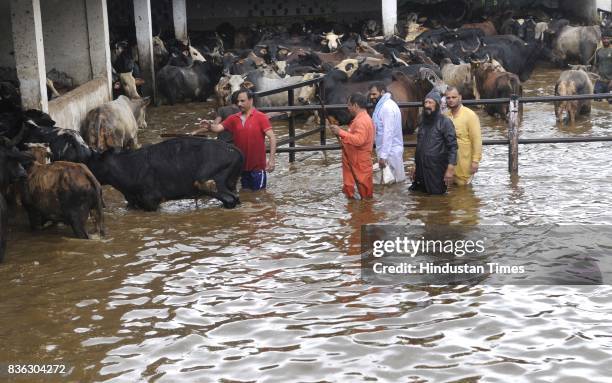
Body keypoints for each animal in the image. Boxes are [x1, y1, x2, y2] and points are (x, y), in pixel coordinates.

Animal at [86, 137, 244, 212]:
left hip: (211, 183)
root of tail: (234, 150)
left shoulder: (151, 200)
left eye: (91, 162)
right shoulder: (134, 201)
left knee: (230, 199)